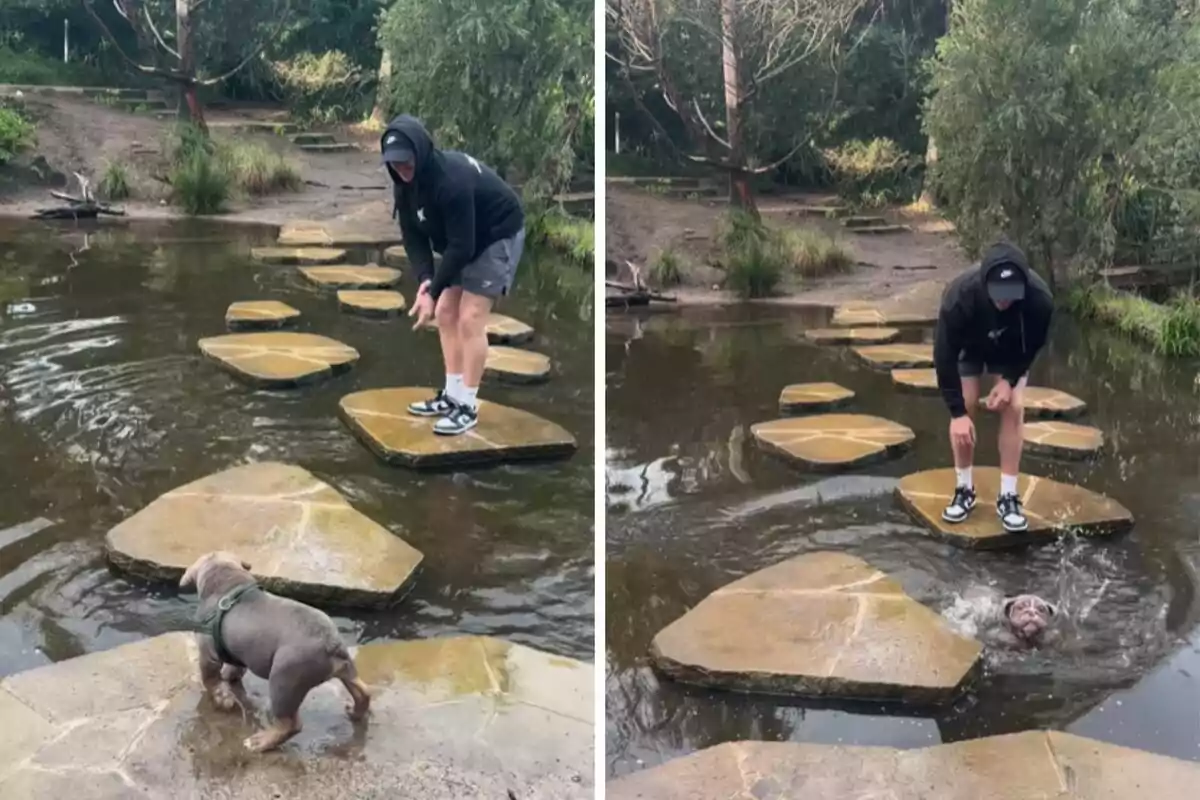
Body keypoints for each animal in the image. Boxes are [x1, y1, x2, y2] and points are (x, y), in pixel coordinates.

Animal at [177, 551, 369, 753]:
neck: (227, 582)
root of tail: (331, 643)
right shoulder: (242, 653)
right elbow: (235, 668)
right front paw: (230, 677)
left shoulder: (208, 655)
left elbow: (210, 680)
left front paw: (221, 697)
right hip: (346, 670)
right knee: (363, 691)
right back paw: (355, 712)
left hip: (284, 682)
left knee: (291, 725)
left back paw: (260, 742)